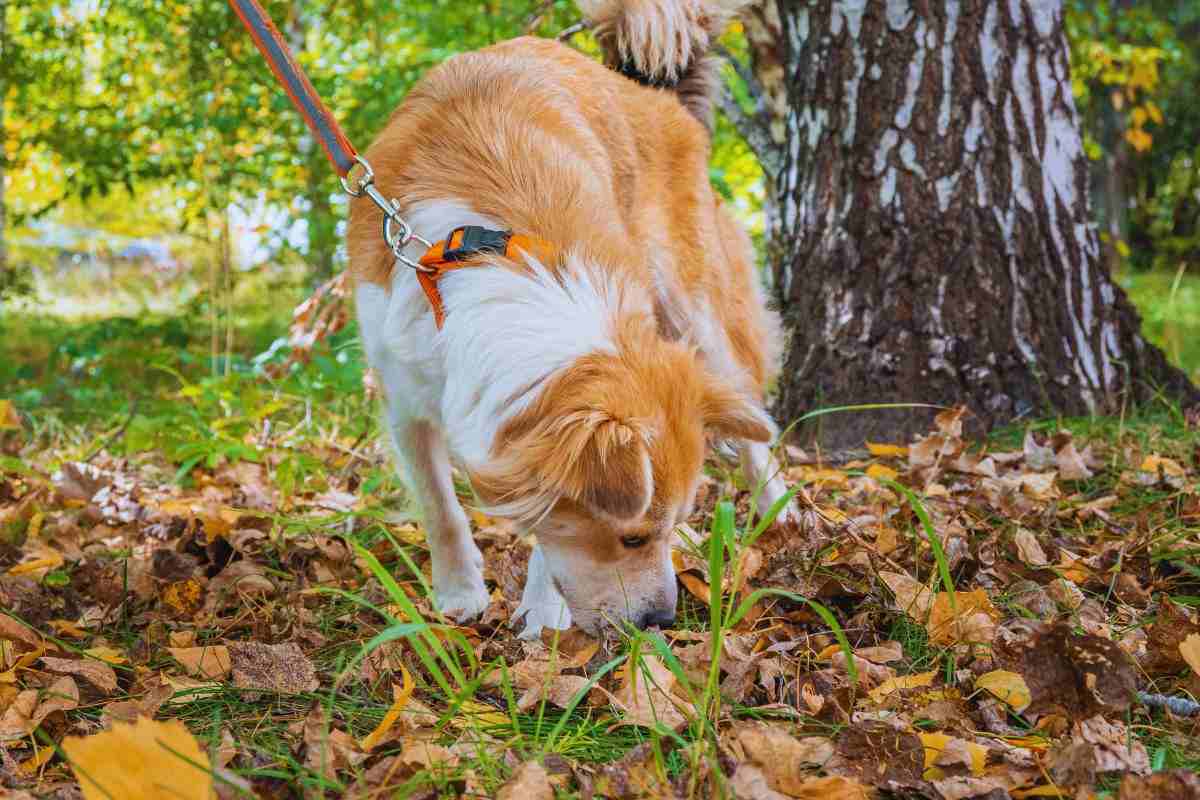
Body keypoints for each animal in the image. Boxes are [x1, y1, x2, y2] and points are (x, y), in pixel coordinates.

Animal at [348, 0, 796, 638]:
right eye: (632, 538)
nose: (660, 620)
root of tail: (652, 94)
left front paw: (541, 614)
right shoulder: (403, 389)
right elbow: (439, 506)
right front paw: (459, 592)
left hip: (699, 311)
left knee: (756, 423)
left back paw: (778, 509)